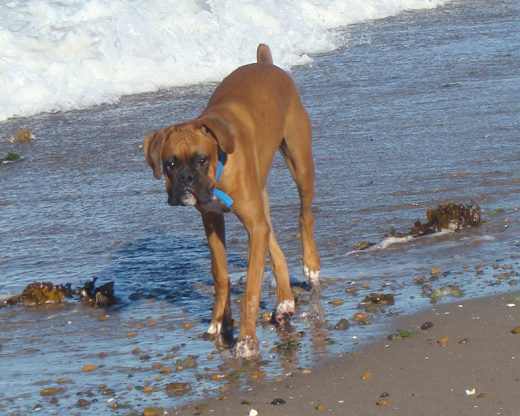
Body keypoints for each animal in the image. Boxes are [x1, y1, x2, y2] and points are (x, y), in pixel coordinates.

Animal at [144, 44, 318, 358]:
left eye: (201, 160)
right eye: (170, 164)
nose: (186, 178)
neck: (220, 167)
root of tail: (266, 63)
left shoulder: (252, 224)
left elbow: (251, 288)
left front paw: (246, 340)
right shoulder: (213, 220)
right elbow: (220, 273)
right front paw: (220, 322)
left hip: (300, 163)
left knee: (305, 214)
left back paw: (310, 264)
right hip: (260, 200)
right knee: (274, 243)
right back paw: (284, 301)